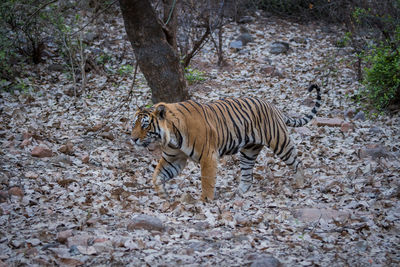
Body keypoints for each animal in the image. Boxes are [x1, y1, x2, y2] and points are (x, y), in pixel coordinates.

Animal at [131, 85, 322, 202]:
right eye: (134, 124)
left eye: (145, 125)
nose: (132, 139)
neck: (171, 137)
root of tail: (273, 106)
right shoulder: (173, 159)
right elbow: (157, 176)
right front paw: (164, 197)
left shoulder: (208, 156)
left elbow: (207, 181)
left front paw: (205, 201)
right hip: (248, 151)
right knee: (247, 175)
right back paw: (239, 193)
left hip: (279, 142)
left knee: (297, 161)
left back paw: (299, 183)